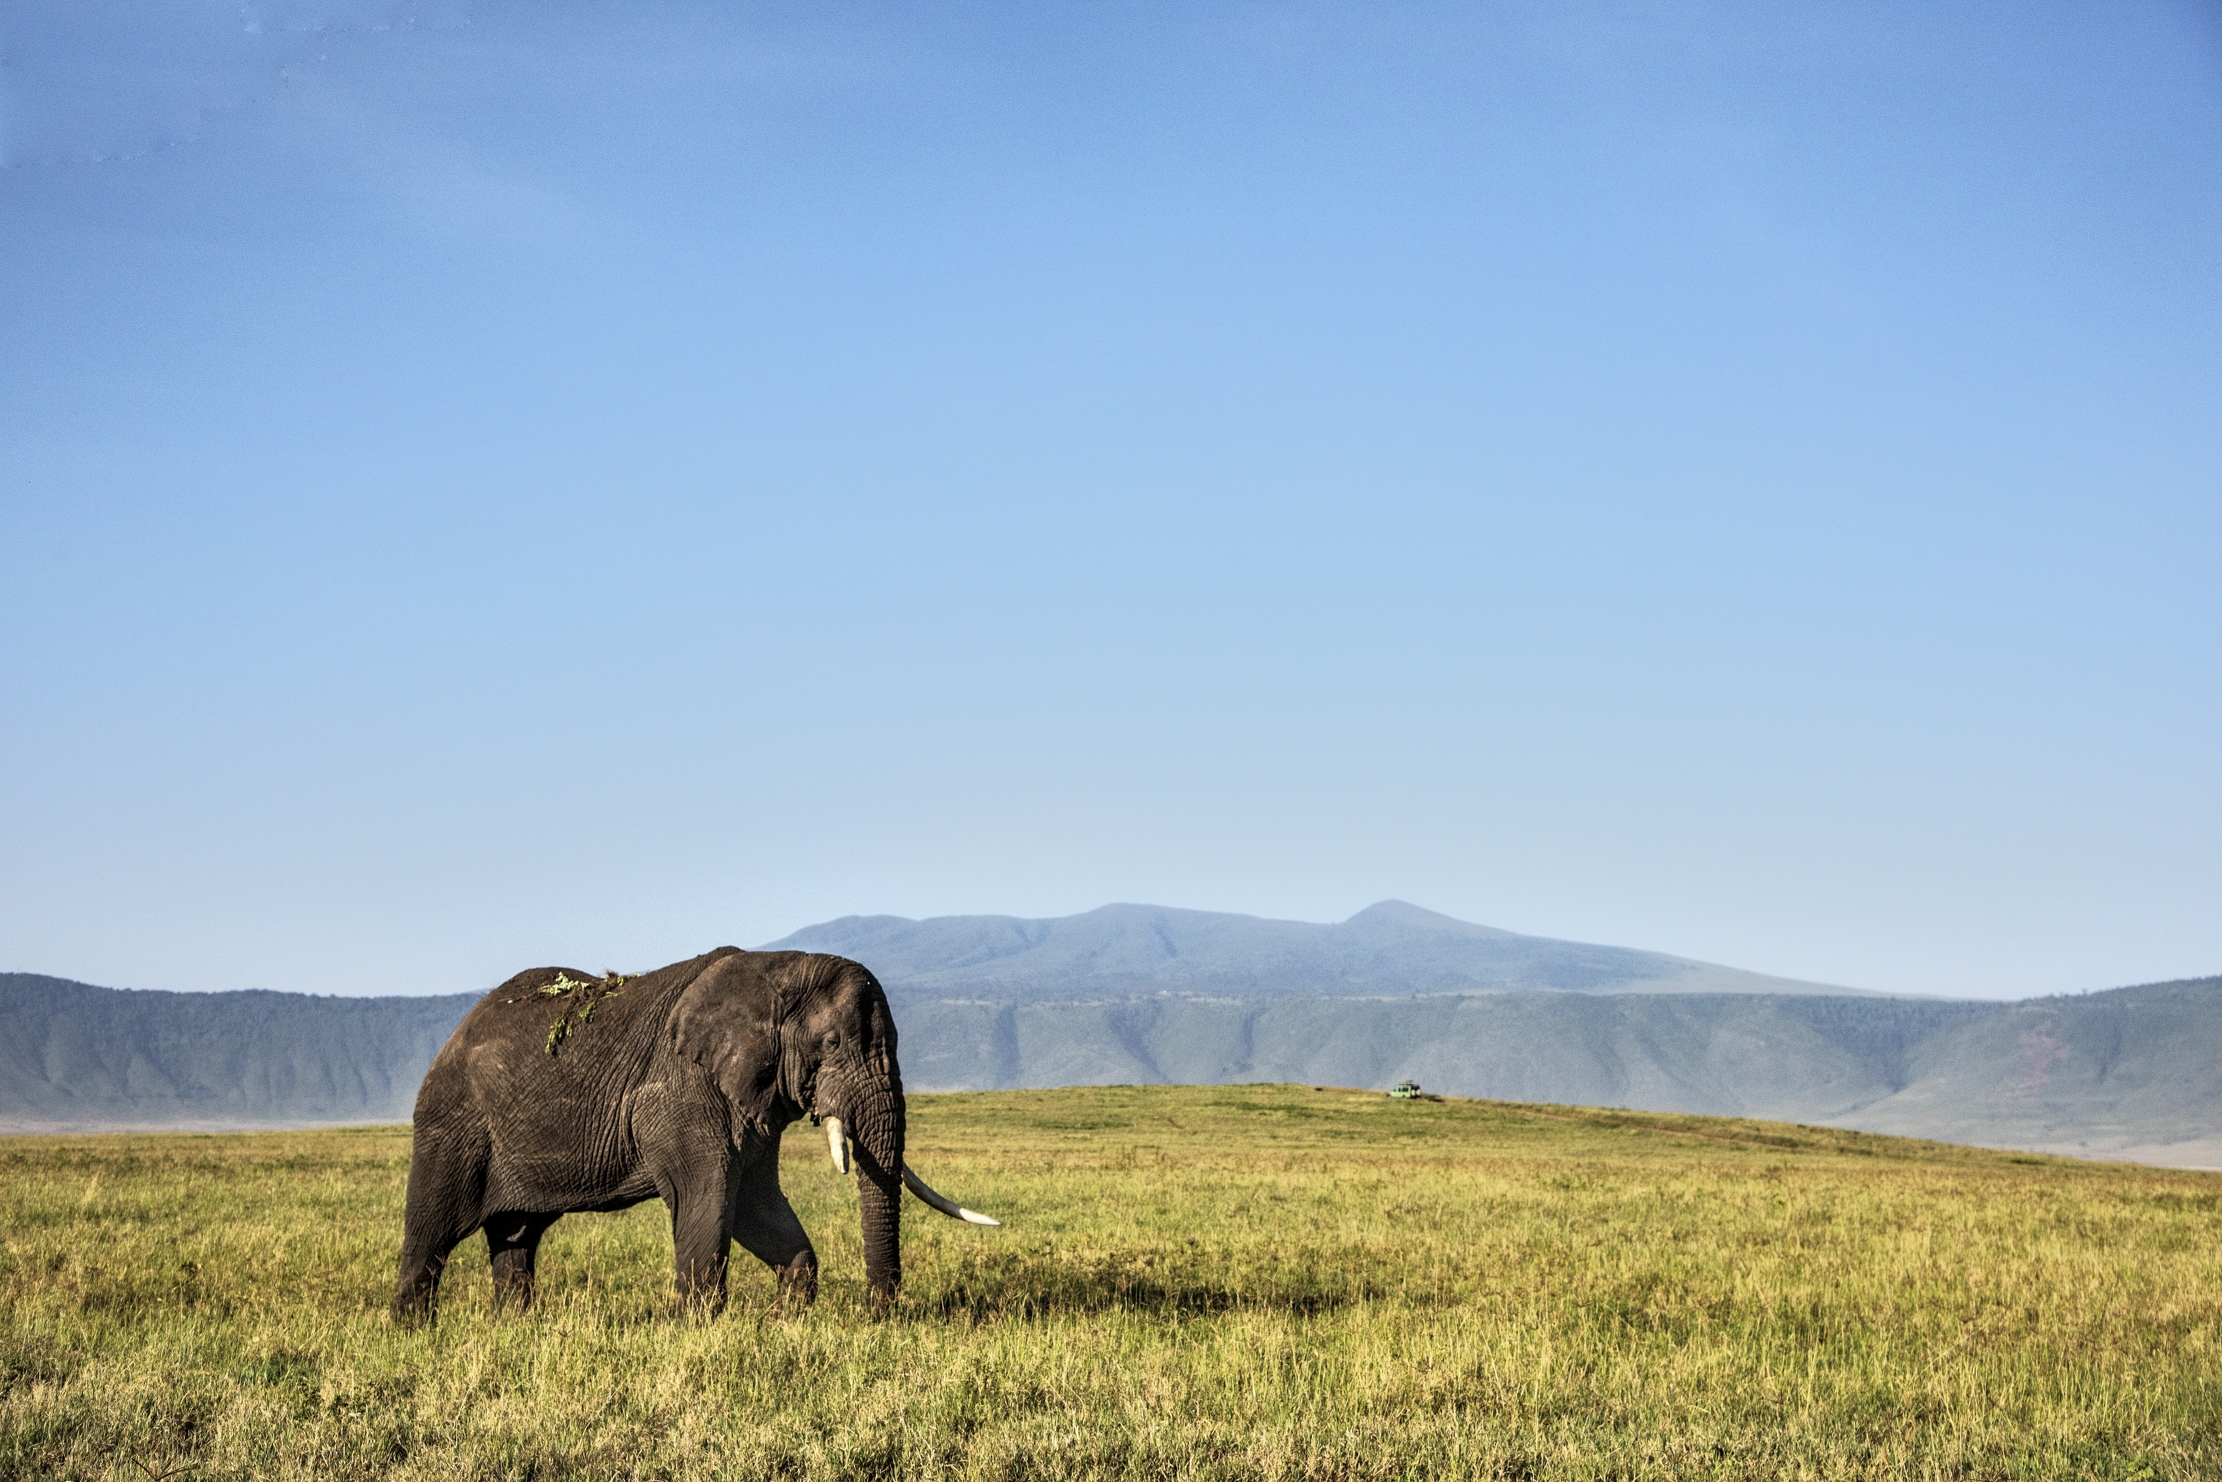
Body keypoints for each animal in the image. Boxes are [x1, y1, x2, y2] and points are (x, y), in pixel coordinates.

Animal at [390, 946, 996, 1324]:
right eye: (832, 1045)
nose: (877, 1315)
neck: (776, 968)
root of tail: (454, 1034)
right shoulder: (681, 1095)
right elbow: (707, 1198)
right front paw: (699, 1330)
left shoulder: (754, 1100)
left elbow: (755, 1204)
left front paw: (784, 1324)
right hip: (452, 1125)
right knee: (431, 1234)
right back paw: (411, 1333)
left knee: (516, 1239)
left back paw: (514, 1329)